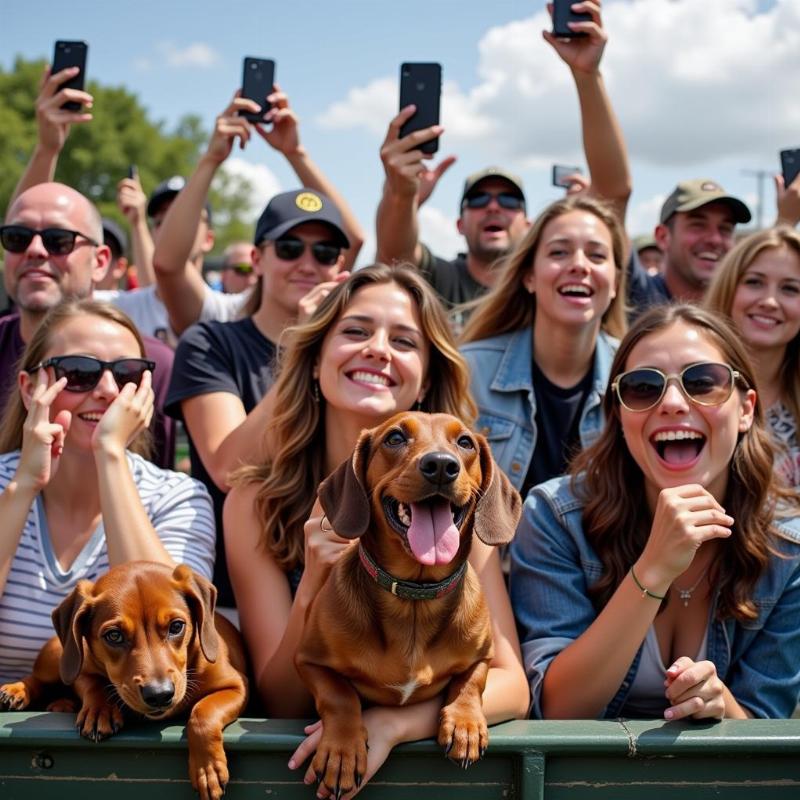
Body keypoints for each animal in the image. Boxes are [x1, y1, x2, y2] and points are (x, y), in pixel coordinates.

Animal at [0, 564, 248, 800]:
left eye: (177, 626)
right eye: (114, 635)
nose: (159, 694)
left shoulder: (237, 686)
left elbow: (203, 713)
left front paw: (208, 769)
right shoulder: (82, 668)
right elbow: (94, 684)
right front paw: (100, 711)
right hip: (57, 656)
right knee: (38, 678)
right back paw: (16, 691)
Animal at [296, 412, 520, 800]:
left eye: (465, 442)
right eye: (395, 438)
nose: (441, 466)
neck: (415, 598)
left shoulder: (484, 656)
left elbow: (471, 681)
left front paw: (464, 724)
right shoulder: (308, 660)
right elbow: (339, 695)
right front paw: (342, 751)